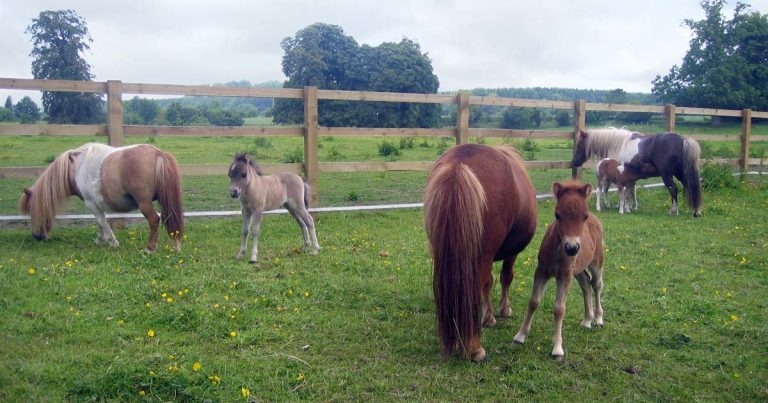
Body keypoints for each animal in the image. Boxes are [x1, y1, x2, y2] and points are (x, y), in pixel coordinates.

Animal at [18, 142, 185, 252]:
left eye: (33, 211)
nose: (37, 236)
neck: (76, 167)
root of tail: (157, 153)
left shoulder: (91, 203)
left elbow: (101, 222)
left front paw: (112, 242)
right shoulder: (96, 205)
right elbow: (100, 223)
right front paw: (100, 240)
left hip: (144, 203)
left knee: (154, 220)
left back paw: (150, 249)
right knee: (171, 219)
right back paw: (176, 247)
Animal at [424, 144, 538, 362]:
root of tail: (458, 165)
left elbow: (489, 283)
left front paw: (488, 316)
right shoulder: (509, 254)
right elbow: (505, 277)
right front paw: (503, 310)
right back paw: (474, 348)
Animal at [513, 180, 604, 359]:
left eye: (584, 216)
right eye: (557, 215)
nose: (572, 248)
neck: (558, 250)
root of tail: (596, 219)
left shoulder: (565, 275)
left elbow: (559, 309)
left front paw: (557, 348)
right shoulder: (542, 271)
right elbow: (533, 301)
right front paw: (520, 336)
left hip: (597, 262)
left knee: (596, 284)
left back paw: (598, 318)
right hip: (577, 269)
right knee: (585, 282)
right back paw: (587, 320)